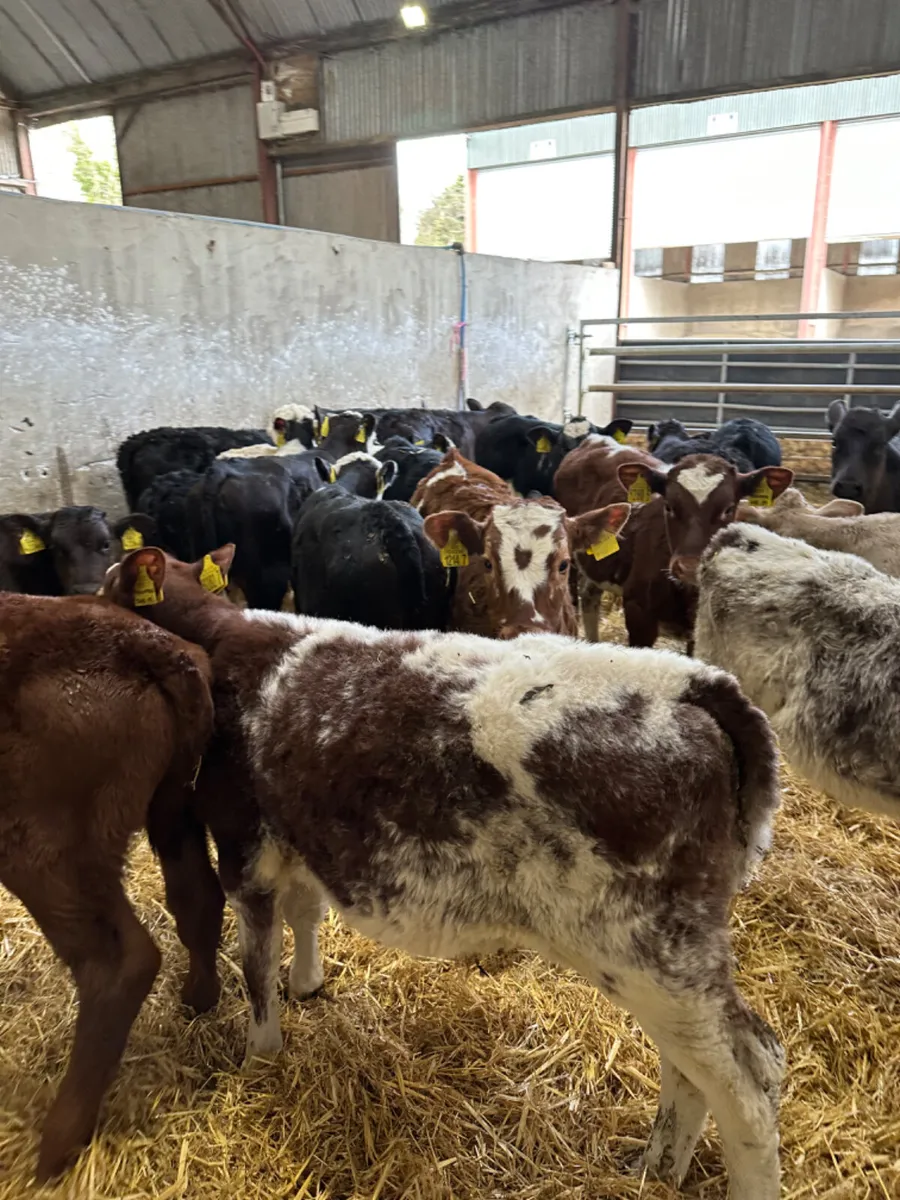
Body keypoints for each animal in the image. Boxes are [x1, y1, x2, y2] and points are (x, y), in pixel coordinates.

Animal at [0, 593, 216, 1180]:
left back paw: (57, 1142)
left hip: (42, 850)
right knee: (198, 899)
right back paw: (199, 997)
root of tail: (139, 641)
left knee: (119, 961)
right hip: (173, 808)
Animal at [104, 544, 785, 1200]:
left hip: (651, 953)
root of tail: (692, 681)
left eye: (107, 588)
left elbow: (256, 966)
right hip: (663, 965)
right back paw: (656, 1169)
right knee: (690, 1071)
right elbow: (305, 913)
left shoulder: (244, 847)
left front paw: (261, 1055)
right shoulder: (297, 834)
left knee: (750, 1077)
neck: (226, 641)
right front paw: (308, 983)